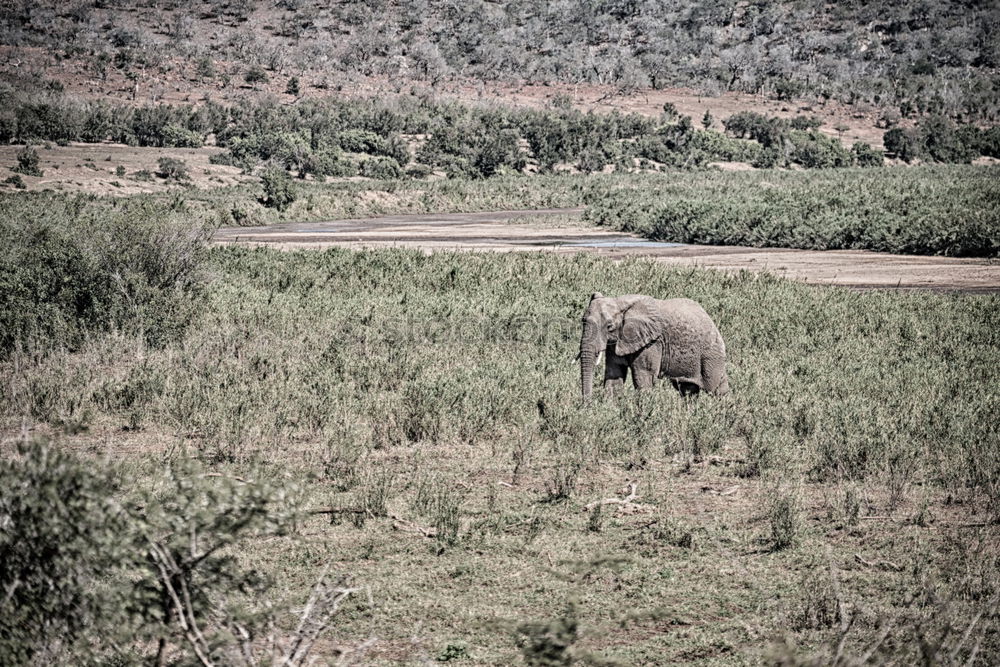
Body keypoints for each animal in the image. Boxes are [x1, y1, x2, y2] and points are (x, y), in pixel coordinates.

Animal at [580, 294, 728, 402]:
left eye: (609, 326)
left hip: (711, 354)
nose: (588, 403)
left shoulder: (652, 342)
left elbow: (643, 376)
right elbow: (614, 375)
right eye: (583, 321)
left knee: (716, 388)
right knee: (687, 390)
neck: (619, 301)